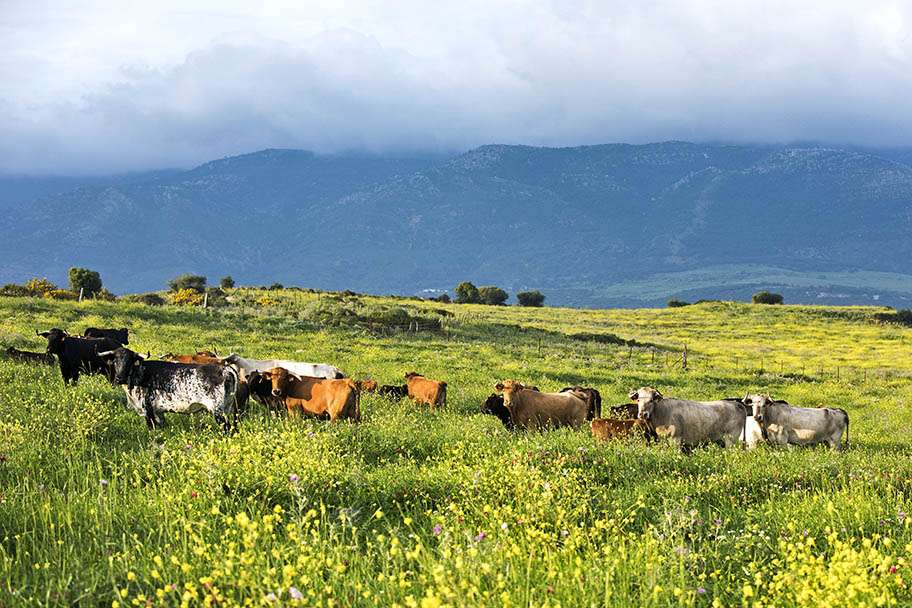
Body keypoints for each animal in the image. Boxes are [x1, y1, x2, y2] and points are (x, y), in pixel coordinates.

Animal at [97, 346, 239, 432]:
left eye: (129, 362)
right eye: (115, 361)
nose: (119, 378)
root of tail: (225, 369)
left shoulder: (147, 409)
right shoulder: (159, 412)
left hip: (218, 412)